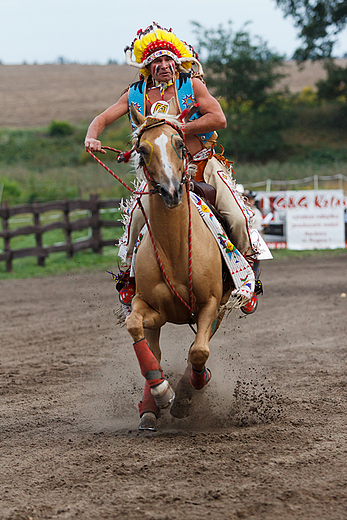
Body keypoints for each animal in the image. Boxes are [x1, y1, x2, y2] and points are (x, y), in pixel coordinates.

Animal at [125, 100, 234, 430]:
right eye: (142, 149)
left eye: (180, 144)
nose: (171, 191)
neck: (175, 251)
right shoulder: (149, 307)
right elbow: (134, 327)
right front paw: (162, 391)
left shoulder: (211, 303)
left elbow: (198, 351)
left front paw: (188, 394)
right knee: (155, 349)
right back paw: (150, 406)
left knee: (199, 345)